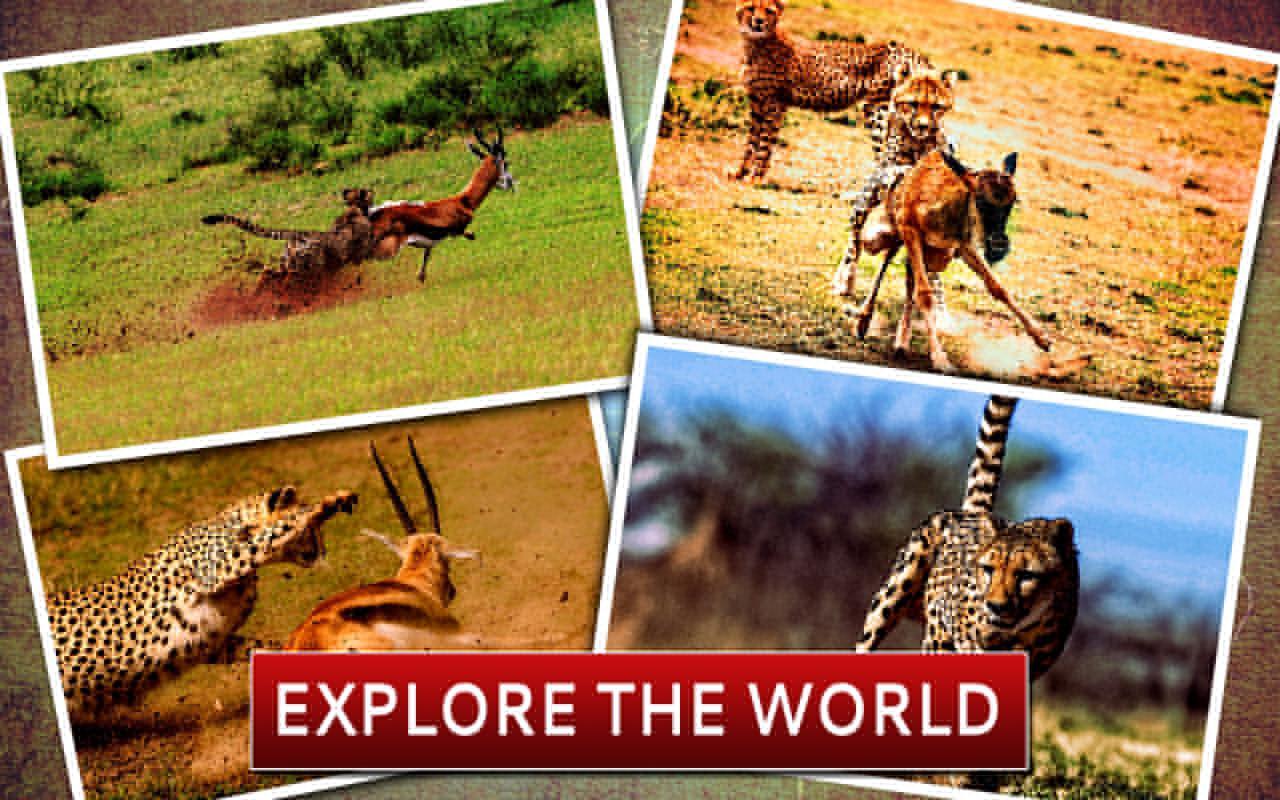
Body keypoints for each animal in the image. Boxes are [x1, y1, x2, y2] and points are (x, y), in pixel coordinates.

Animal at [47, 487, 357, 721]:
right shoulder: (217, 570)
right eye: (314, 531)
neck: (234, 524)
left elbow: (265, 647)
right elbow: (273, 534)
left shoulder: (216, 644)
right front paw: (325, 505)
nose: (323, 551)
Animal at [202, 187, 376, 286]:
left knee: (274, 275)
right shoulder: (360, 253)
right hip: (309, 267)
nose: (372, 191)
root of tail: (296, 233)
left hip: (287, 265)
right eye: (366, 191)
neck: (355, 209)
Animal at [733, 0, 936, 183]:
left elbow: (765, 142)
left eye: (769, 11)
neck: (755, 43)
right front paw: (740, 173)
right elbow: (751, 141)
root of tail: (909, 49)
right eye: (750, 8)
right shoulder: (757, 102)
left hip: (878, 109)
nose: (759, 21)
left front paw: (756, 177)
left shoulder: (775, 103)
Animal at [854, 395, 1078, 682]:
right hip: (893, 593)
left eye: (1026, 575)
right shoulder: (939, 619)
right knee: (867, 640)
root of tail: (974, 512)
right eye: (988, 569)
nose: (995, 606)